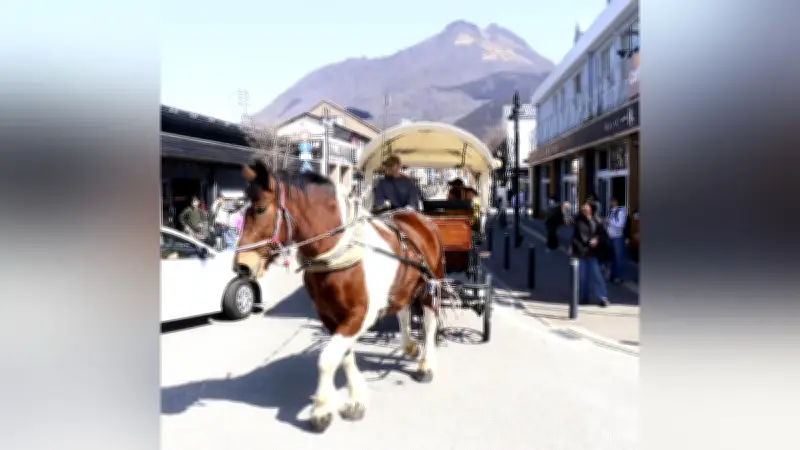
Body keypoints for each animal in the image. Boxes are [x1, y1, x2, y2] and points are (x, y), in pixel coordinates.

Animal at [233, 160, 446, 433]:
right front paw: (355, 399)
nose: (242, 265)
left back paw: (426, 365)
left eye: (260, 209)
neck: (339, 253)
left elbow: (327, 358)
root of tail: (418, 218)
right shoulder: (329, 315)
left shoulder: (360, 314)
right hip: (403, 286)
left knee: (429, 323)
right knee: (402, 310)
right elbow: (343, 356)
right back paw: (409, 345)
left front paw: (321, 409)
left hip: (431, 285)